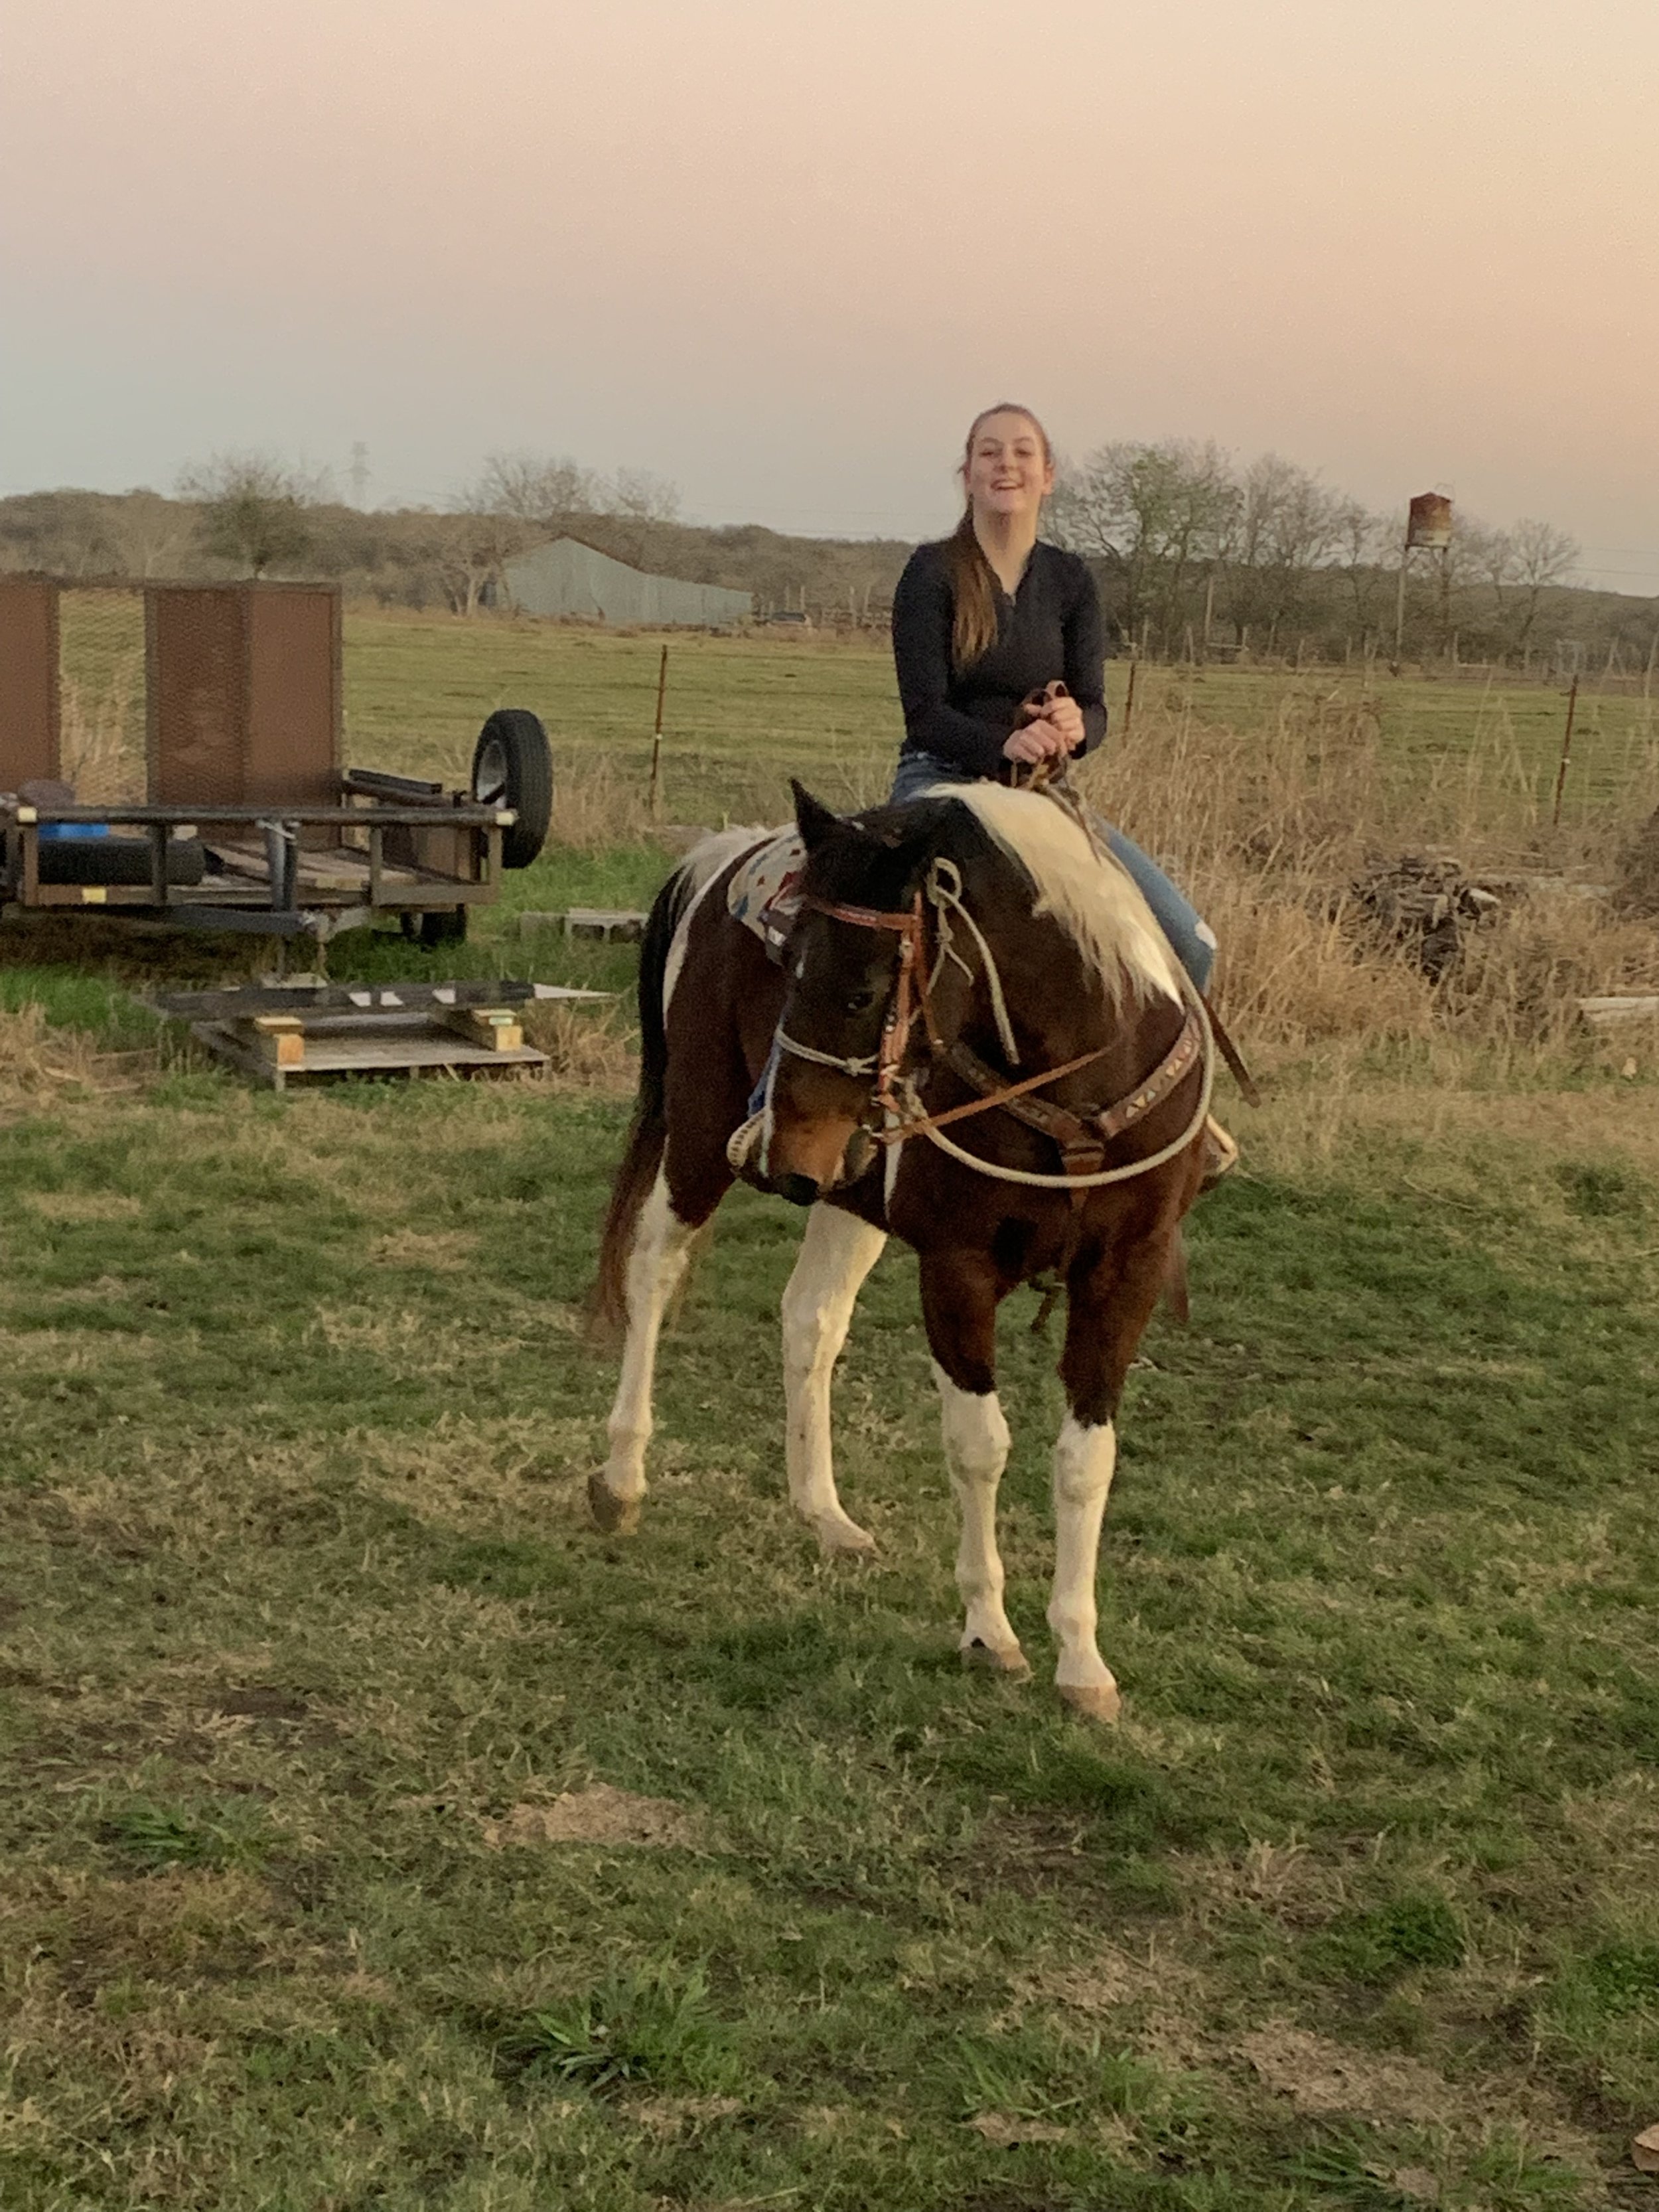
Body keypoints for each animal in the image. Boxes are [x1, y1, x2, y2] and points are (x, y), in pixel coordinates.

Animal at [591, 778, 1214, 1722]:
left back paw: (824, 1513)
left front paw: (1081, 1659)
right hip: (700, 1136)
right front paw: (989, 1631)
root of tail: (720, 853)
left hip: (847, 1191)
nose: (785, 1145)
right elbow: (980, 1444)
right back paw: (620, 1479)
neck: (1074, 1085)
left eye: (863, 992)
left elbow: (1085, 1460)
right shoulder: (957, 1268)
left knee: (810, 1320)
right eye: (789, 962)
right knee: (654, 1270)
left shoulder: (1126, 1271)